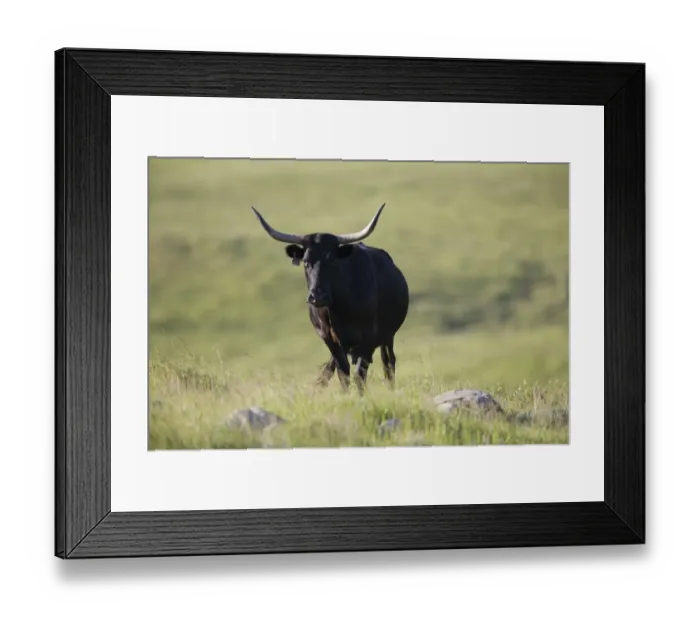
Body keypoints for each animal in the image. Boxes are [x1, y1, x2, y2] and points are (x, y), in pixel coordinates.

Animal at [251, 203, 409, 394]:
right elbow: (343, 373)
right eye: (305, 262)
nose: (317, 296)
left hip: (387, 336)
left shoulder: (369, 337)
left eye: (333, 261)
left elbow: (360, 373)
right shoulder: (329, 338)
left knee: (388, 363)